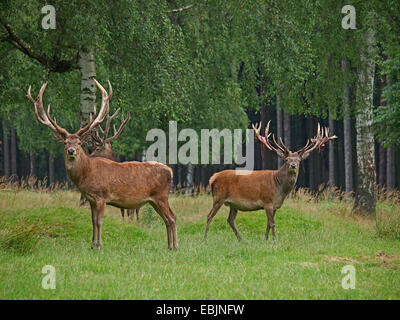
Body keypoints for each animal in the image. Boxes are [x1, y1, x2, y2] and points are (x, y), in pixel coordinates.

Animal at [27, 80, 177, 250]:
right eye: (65, 142)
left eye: (79, 143)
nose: (71, 151)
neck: (87, 174)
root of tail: (170, 171)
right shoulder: (90, 198)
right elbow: (92, 221)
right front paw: (92, 244)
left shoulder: (101, 196)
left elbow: (99, 221)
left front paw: (99, 245)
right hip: (154, 200)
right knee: (168, 218)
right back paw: (170, 246)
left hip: (161, 196)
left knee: (172, 217)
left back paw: (175, 246)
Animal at [203, 121, 338, 241]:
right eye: (287, 159)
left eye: (298, 160)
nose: (293, 165)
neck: (279, 189)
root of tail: (212, 177)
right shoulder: (267, 201)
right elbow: (272, 223)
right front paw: (274, 240)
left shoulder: (275, 205)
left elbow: (269, 223)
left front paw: (266, 239)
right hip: (218, 197)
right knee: (209, 215)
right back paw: (204, 239)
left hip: (233, 204)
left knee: (230, 220)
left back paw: (241, 240)